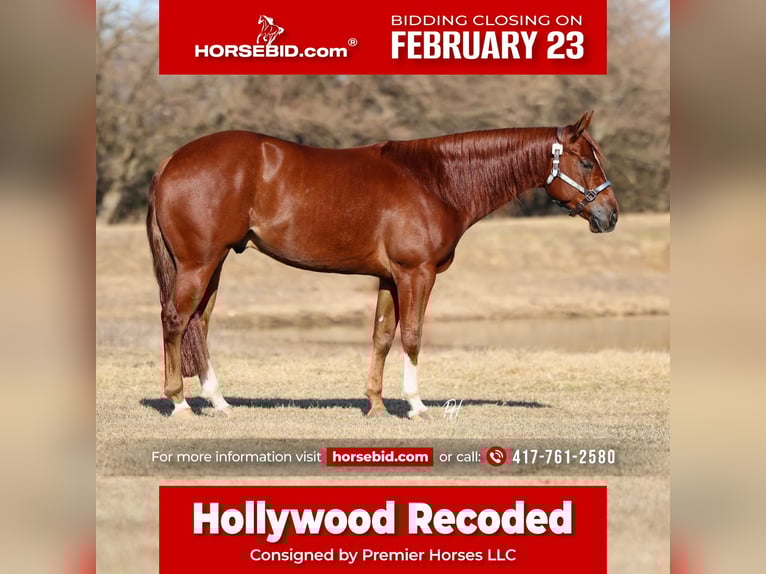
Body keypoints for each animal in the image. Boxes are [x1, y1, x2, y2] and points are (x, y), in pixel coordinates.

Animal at [146, 111, 618, 419]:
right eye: (586, 161)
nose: (610, 215)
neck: (435, 180)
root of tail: (171, 160)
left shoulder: (389, 278)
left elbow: (382, 337)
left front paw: (374, 404)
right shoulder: (416, 273)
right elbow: (412, 336)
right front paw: (415, 406)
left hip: (214, 263)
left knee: (198, 323)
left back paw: (219, 402)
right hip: (199, 263)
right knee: (175, 319)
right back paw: (180, 403)